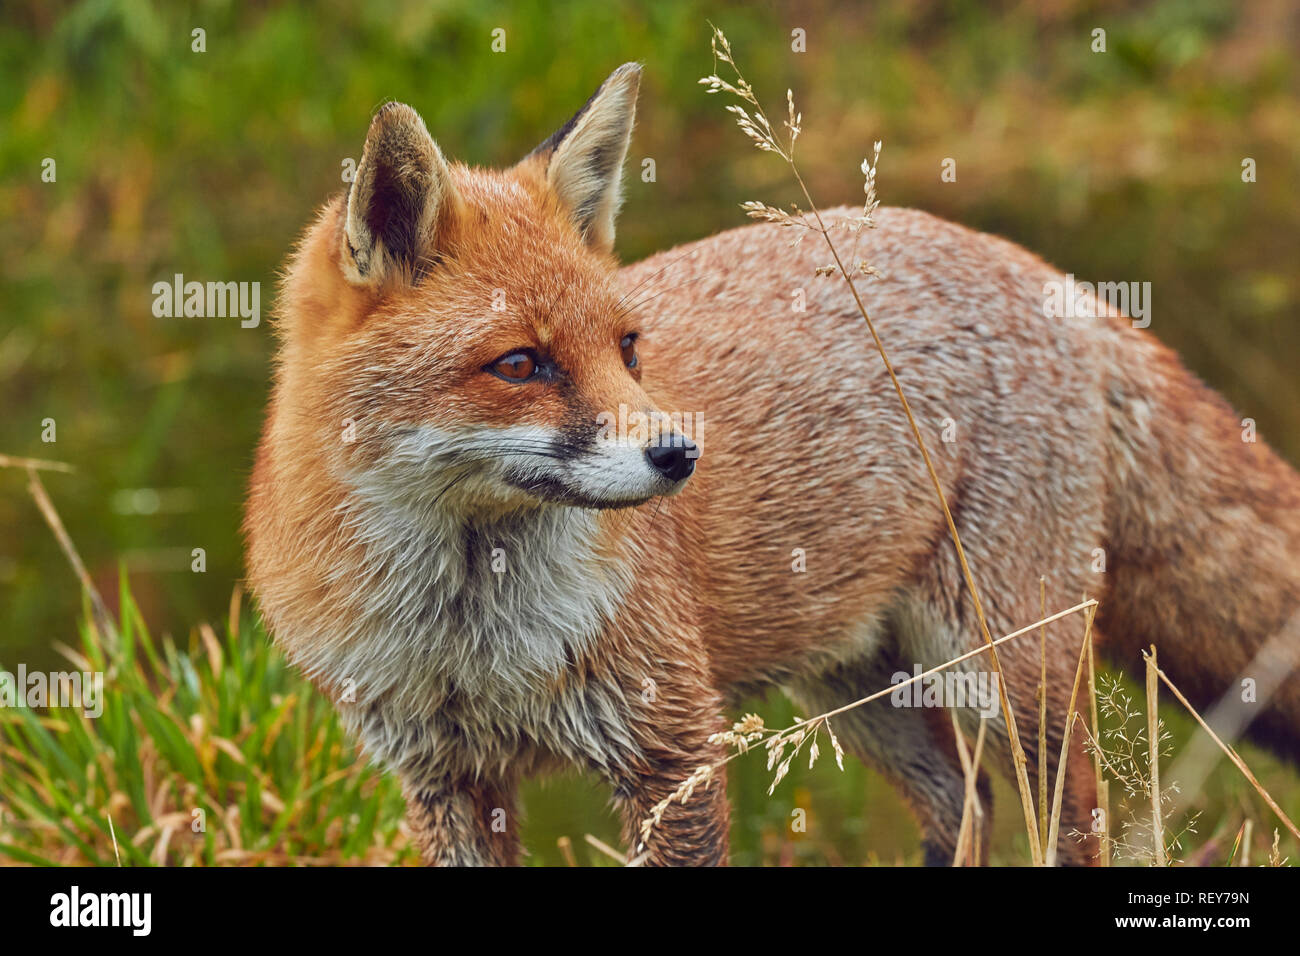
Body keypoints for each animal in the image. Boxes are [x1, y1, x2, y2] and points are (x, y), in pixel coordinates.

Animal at [245, 59, 1300, 868]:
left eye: (628, 348)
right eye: (520, 365)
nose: (681, 455)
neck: (469, 638)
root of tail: (1044, 272)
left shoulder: (672, 753)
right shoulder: (449, 781)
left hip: (999, 667)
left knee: (1076, 817)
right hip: (860, 688)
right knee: (964, 807)